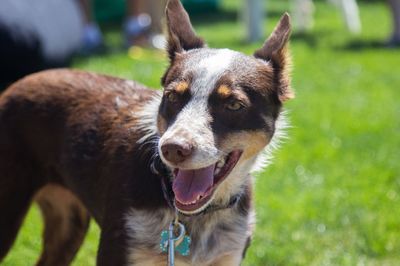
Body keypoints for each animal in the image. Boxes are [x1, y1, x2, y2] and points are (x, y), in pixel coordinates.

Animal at [0, 1, 294, 264]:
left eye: (233, 104)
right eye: (172, 96)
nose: (172, 149)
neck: (196, 217)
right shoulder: (118, 251)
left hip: (68, 224)